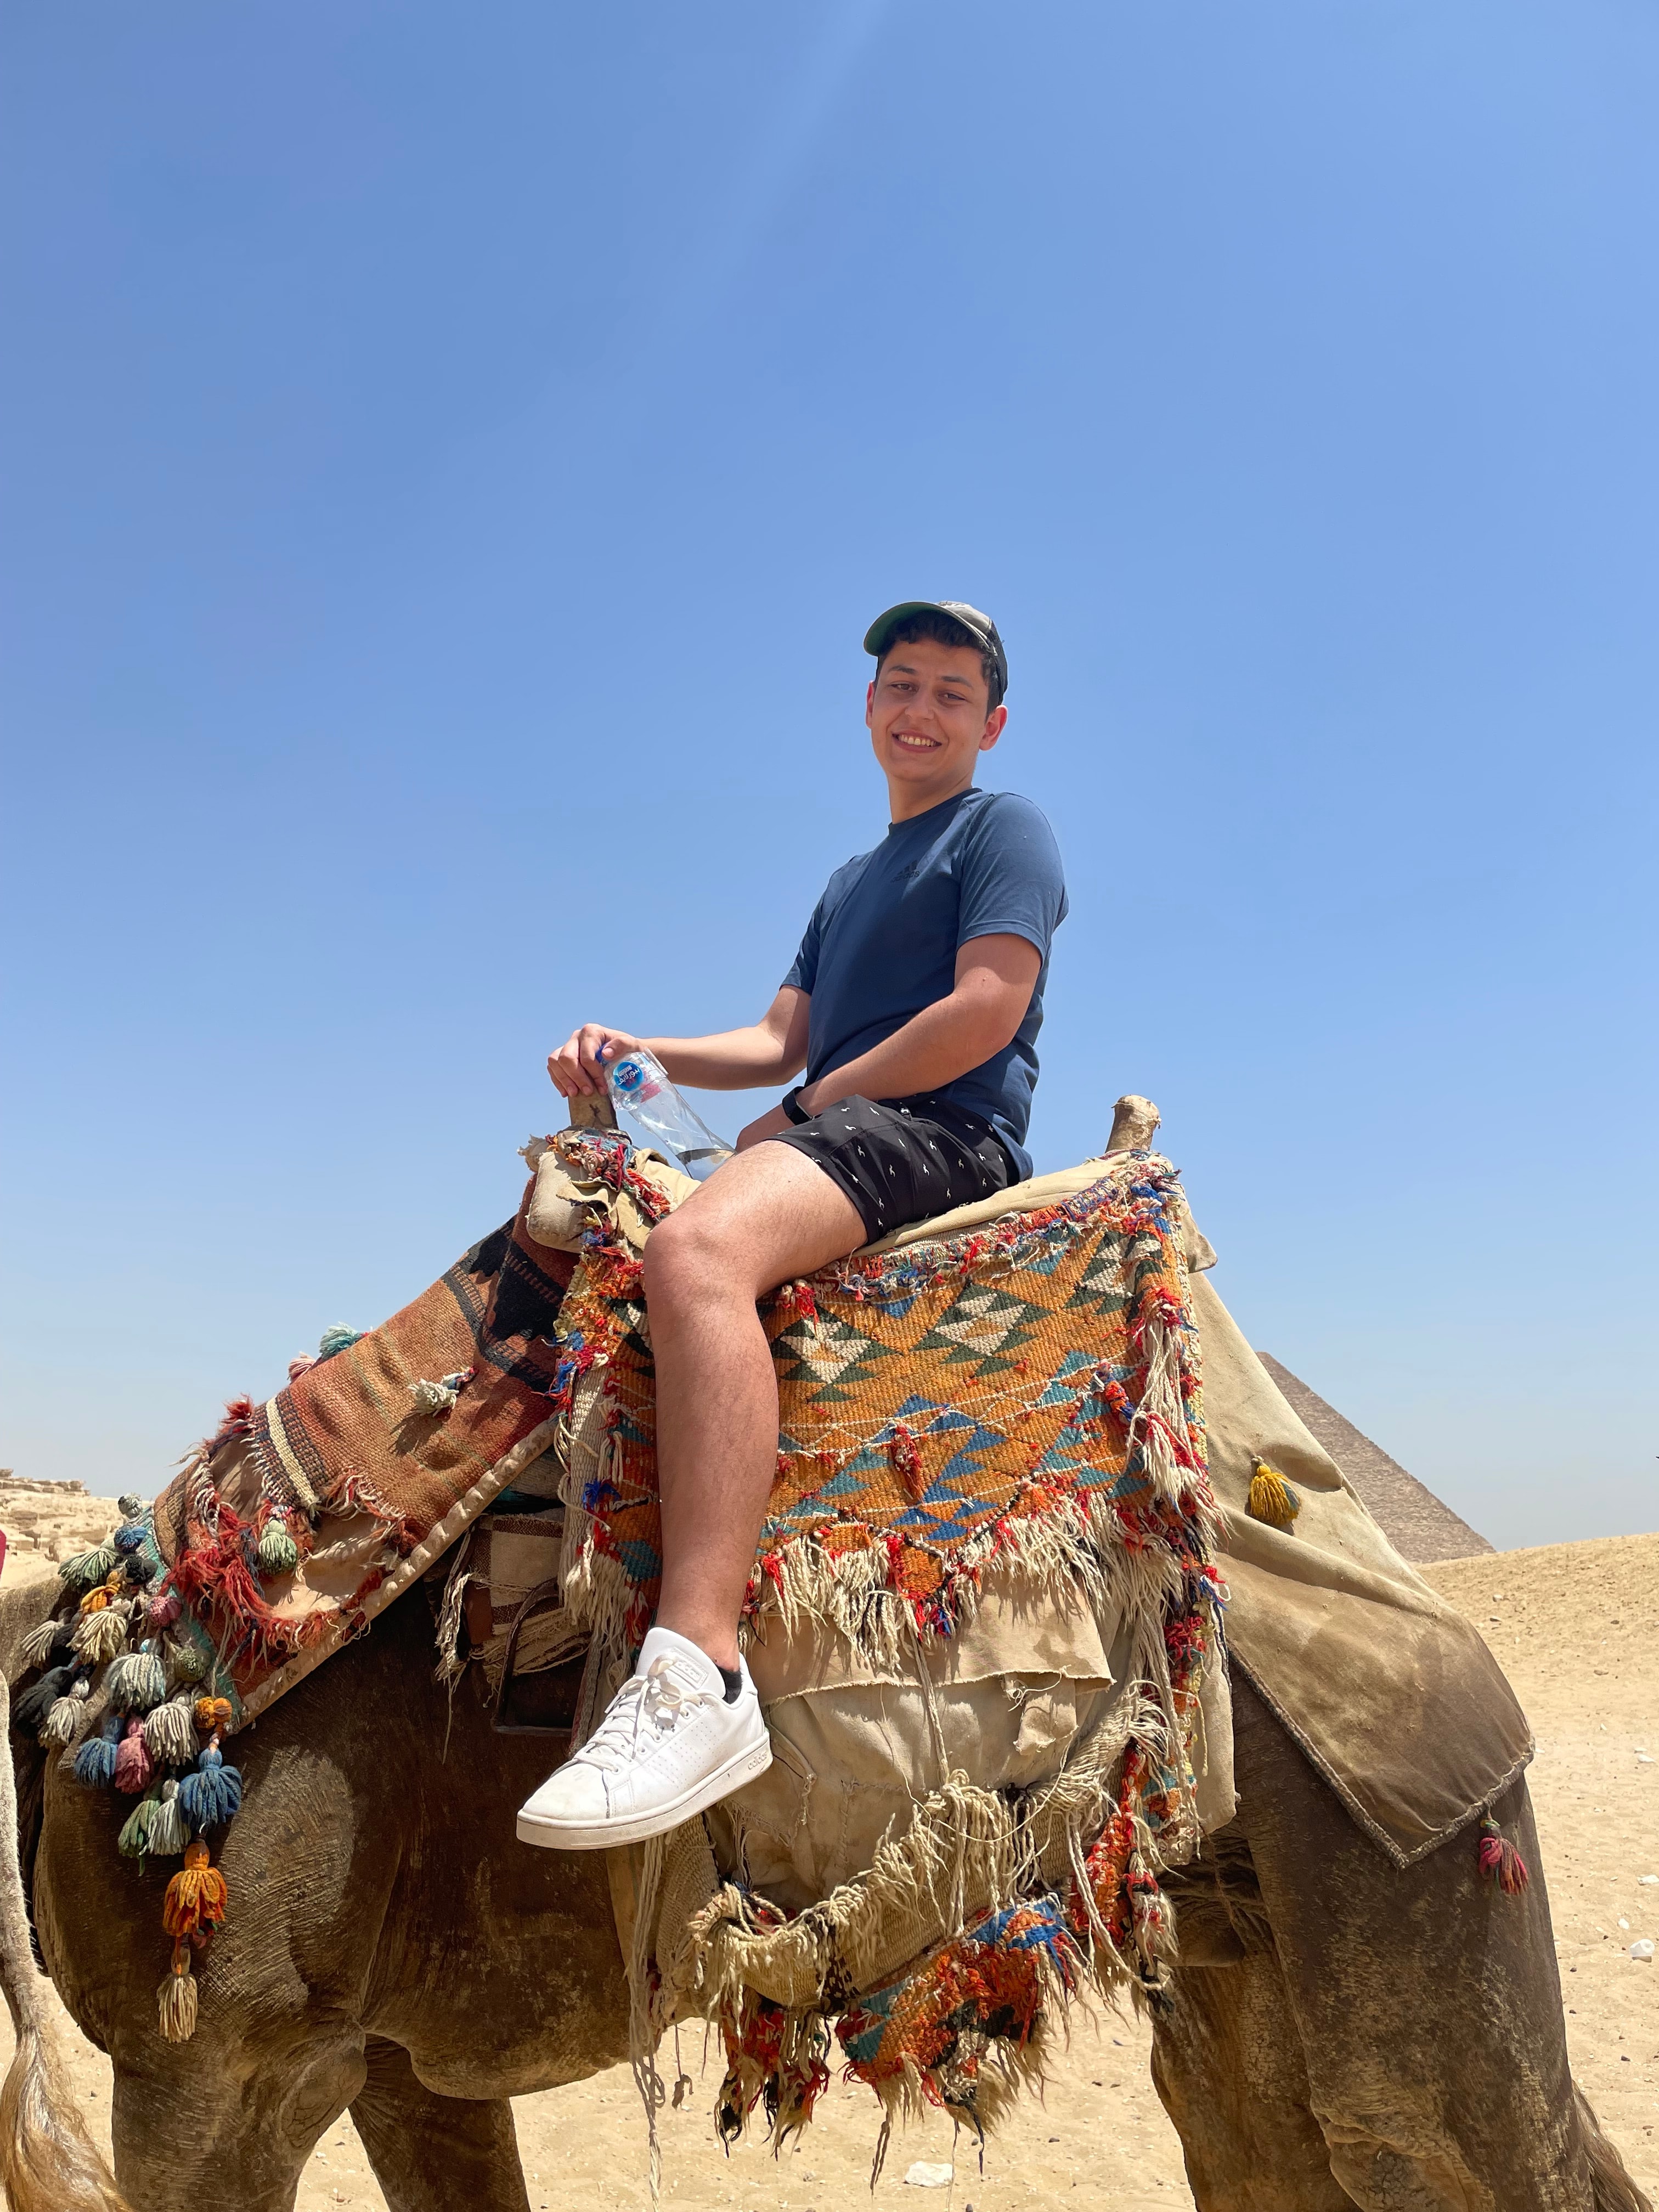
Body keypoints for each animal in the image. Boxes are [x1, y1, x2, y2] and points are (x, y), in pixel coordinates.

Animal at [0, 1541, 1649, 2212]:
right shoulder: (398, 2061)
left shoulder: (221, 2065)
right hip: (1236, 1934)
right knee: (1267, 2149)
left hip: (1408, 1853)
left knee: (1440, 2143)